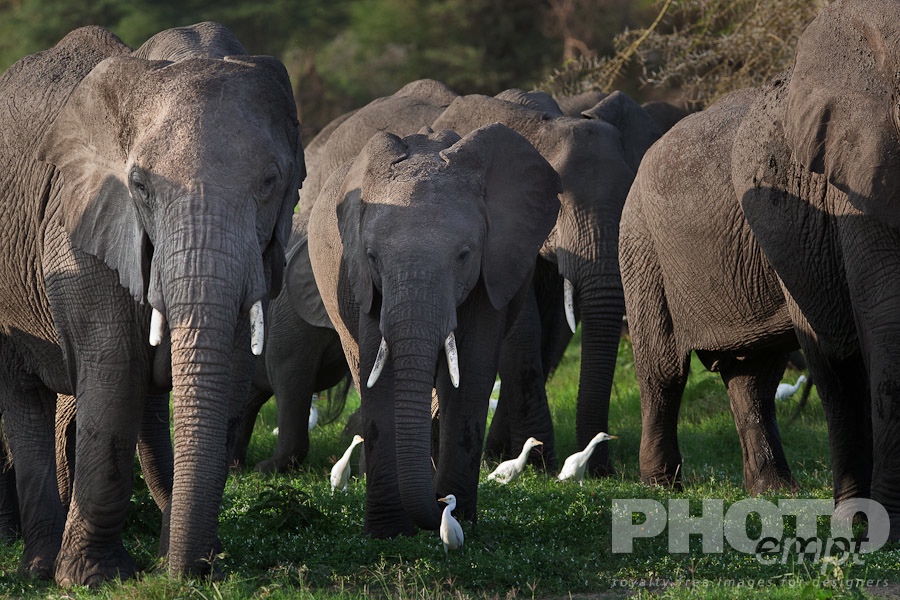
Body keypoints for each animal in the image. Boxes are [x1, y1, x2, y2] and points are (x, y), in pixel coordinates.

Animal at [0, 21, 302, 586]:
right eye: (139, 185)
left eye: (271, 182)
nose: (192, 574)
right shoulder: (80, 223)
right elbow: (115, 370)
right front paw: (93, 579)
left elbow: (229, 373)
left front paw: (187, 564)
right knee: (24, 394)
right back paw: (39, 568)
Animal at [308, 125, 561, 537]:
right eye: (373, 257)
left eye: (463, 255)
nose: (442, 504)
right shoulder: (366, 282)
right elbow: (379, 369)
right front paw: (389, 533)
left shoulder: (492, 271)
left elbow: (471, 371)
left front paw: (462, 521)